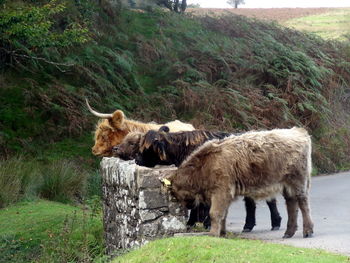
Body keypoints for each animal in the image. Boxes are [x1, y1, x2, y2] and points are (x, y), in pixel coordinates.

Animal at [113, 129, 284, 232]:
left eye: (146, 148)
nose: (137, 160)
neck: (182, 150)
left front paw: (203, 223)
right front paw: (193, 222)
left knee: (266, 200)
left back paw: (274, 223)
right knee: (253, 202)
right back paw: (252, 225)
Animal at [163, 128, 314, 239]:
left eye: (175, 192)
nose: (187, 206)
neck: (205, 165)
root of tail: (298, 131)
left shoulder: (221, 191)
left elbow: (215, 213)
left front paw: (213, 234)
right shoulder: (226, 194)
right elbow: (223, 214)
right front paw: (222, 233)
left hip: (298, 183)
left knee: (303, 204)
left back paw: (307, 231)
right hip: (287, 186)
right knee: (291, 205)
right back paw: (289, 232)